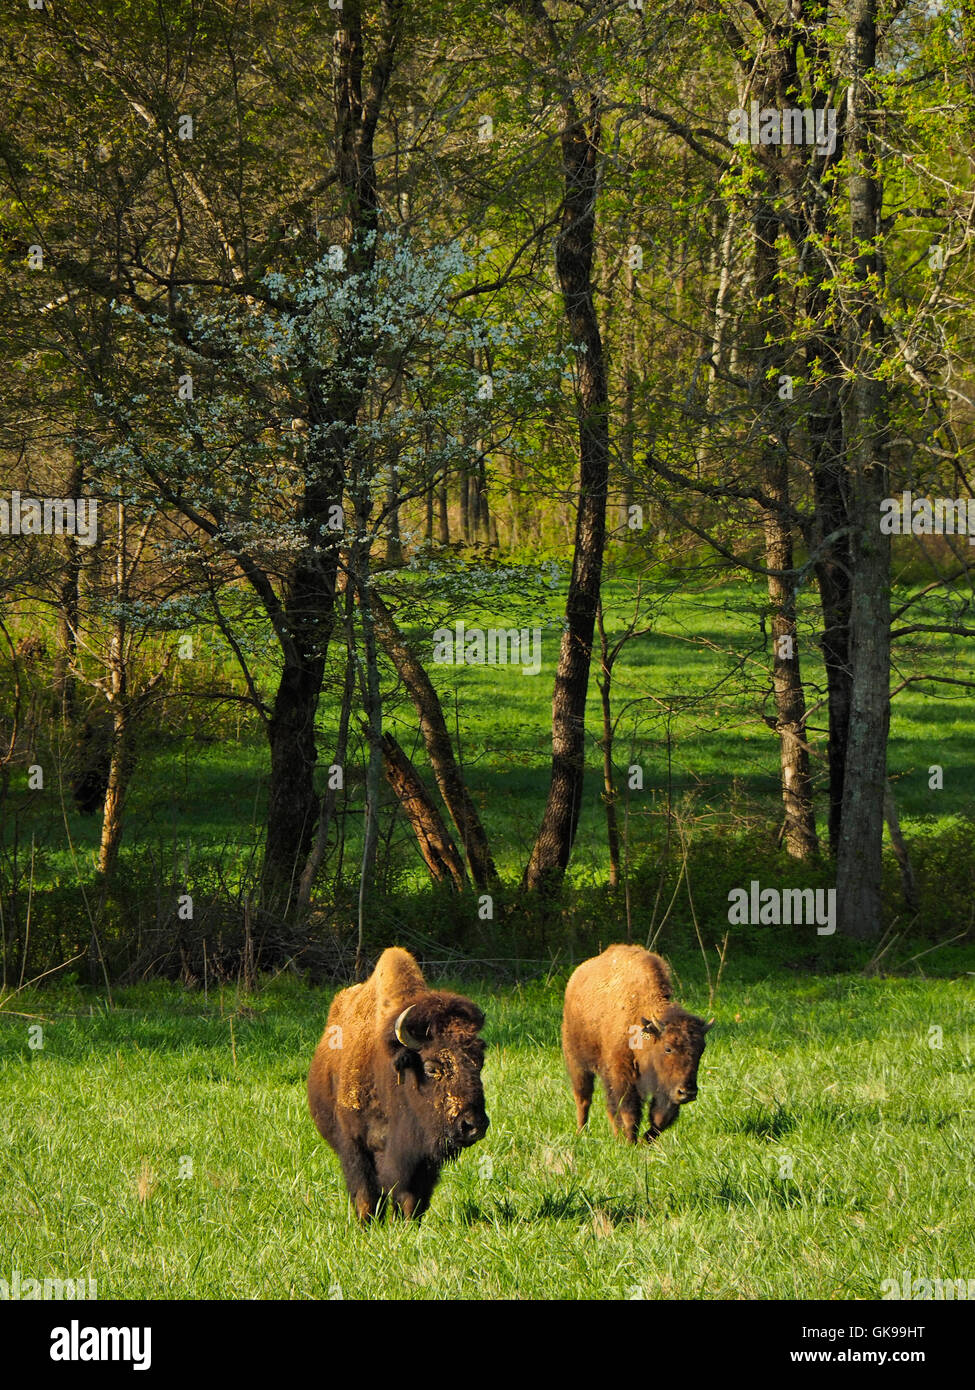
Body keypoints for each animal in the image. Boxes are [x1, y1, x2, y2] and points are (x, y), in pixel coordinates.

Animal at [305, 950, 486, 1223]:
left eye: (480, 1061)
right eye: (431, 1068)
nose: (473, 1126)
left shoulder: (419, 1158)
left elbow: (411, 1197)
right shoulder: (355, 1145)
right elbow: (366, 1195)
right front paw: (367, 1225)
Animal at [559, 950, 712, 1145]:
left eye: (701, 1049)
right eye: (668, 1048)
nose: (688, 1092)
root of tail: (575, 978)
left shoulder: (665, 1087)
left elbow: (659, 1119)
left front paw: (644, 1141)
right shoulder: (623, 1078)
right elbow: (628, 1113)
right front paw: (631, 1143)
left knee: (608, 1108)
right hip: (577, 1063)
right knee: (584, 1099)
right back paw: (582, 1132)